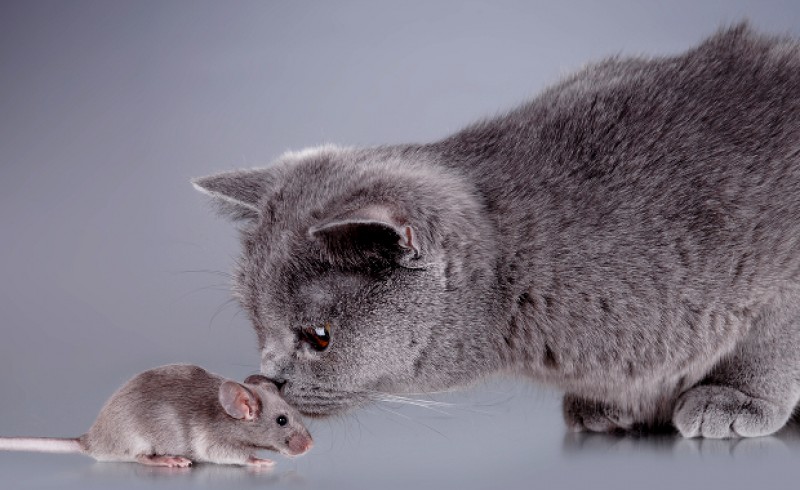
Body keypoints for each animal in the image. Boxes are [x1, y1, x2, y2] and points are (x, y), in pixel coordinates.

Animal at [192, 25, 800, 440]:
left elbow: (769, 341)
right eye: (258, 325)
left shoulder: (781, 275)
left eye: (319, 337)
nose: (268, 380)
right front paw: (614, 406)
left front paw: (733, 398)